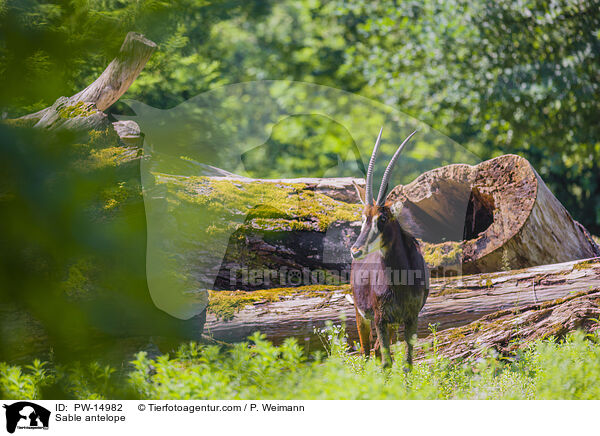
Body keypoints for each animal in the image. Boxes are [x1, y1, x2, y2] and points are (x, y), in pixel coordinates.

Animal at [350, 127, 428, 368]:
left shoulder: (411, 319)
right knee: (367, 353)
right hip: (363, 317)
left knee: (375, 351)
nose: (355, 250)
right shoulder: (380, 319)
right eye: (363, 217)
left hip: (393, 324)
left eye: (382, 218)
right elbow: (386, 363)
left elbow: (407, 364)